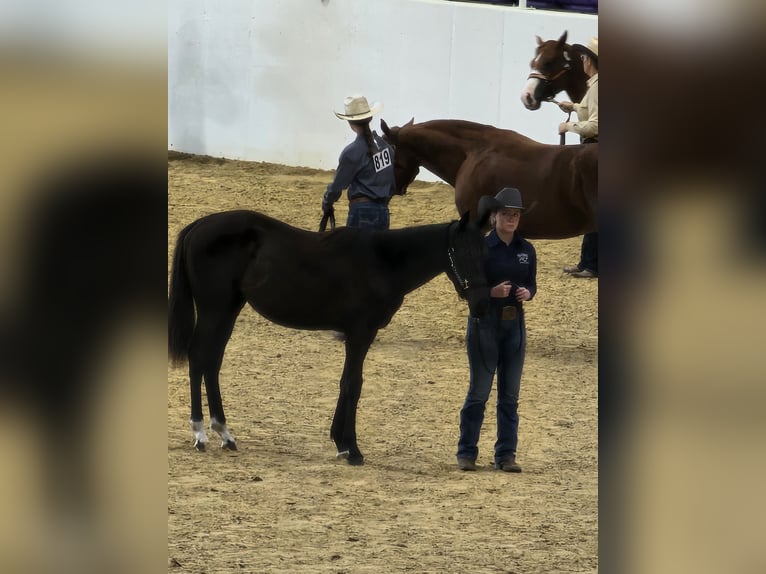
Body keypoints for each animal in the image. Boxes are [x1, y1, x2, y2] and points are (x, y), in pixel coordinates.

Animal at [170, 209, 492, 466]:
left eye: (484, 251)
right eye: (463, 252)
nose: (481, 305)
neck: (382, 261)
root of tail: (199, 225)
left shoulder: (356, 334)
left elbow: (346, 382)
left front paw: (340, 443)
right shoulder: (361, 333)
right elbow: (353, 384)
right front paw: (352, 449)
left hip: (228, 309)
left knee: (212, 362)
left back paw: (225, 433)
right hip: (213, 309)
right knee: (199, 357)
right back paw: (200, 433)